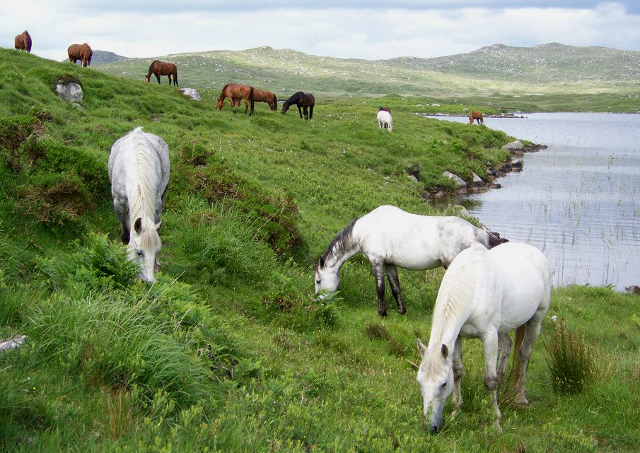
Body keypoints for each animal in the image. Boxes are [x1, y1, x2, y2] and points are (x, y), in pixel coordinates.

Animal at [109, 127, 171, 280]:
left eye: (157, 251)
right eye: (139, 252)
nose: (148, 281)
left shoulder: (157, 206)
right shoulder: (119, 203)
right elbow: (126, 233)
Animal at [316, 204, 504, 314]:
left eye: (318, 280)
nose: (319, 302)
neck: (365, 229)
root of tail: (475, 232)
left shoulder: (377, 261)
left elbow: (380, 288)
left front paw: (382, 313)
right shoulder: (389, 264)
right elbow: (395, 289)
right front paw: (401, 311)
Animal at [416, 242, 552, 432]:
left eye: (443, 384)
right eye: (420, 382)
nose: (430, 427)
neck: (472, 286)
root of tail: (534, 251)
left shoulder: (489, 336)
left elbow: (489, 380)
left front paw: (496, 422)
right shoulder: (457, 337)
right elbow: (458, 371)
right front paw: (456, 410)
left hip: (536, 319)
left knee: (524, 353)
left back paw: (520, 396)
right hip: (503, 327)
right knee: (508, 345)